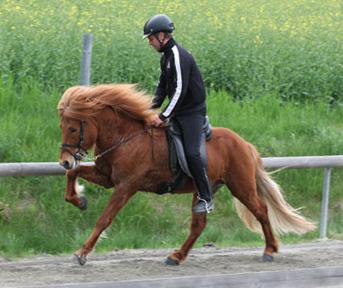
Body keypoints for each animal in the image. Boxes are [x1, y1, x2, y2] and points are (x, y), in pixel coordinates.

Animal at [57, 83, 318, 266]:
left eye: (73, 128)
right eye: (62, 127)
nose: (64, 161)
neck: (125, 137)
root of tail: (244, 143)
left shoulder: (126, 186)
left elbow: (104, 219)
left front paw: (82, 253)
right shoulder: (107, 178)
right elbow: (74, 175)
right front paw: (79, 200)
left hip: (241, 186)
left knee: (261, 210)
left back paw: (270, 250)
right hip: (203, 190)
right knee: (198, 225)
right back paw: (177, 256)